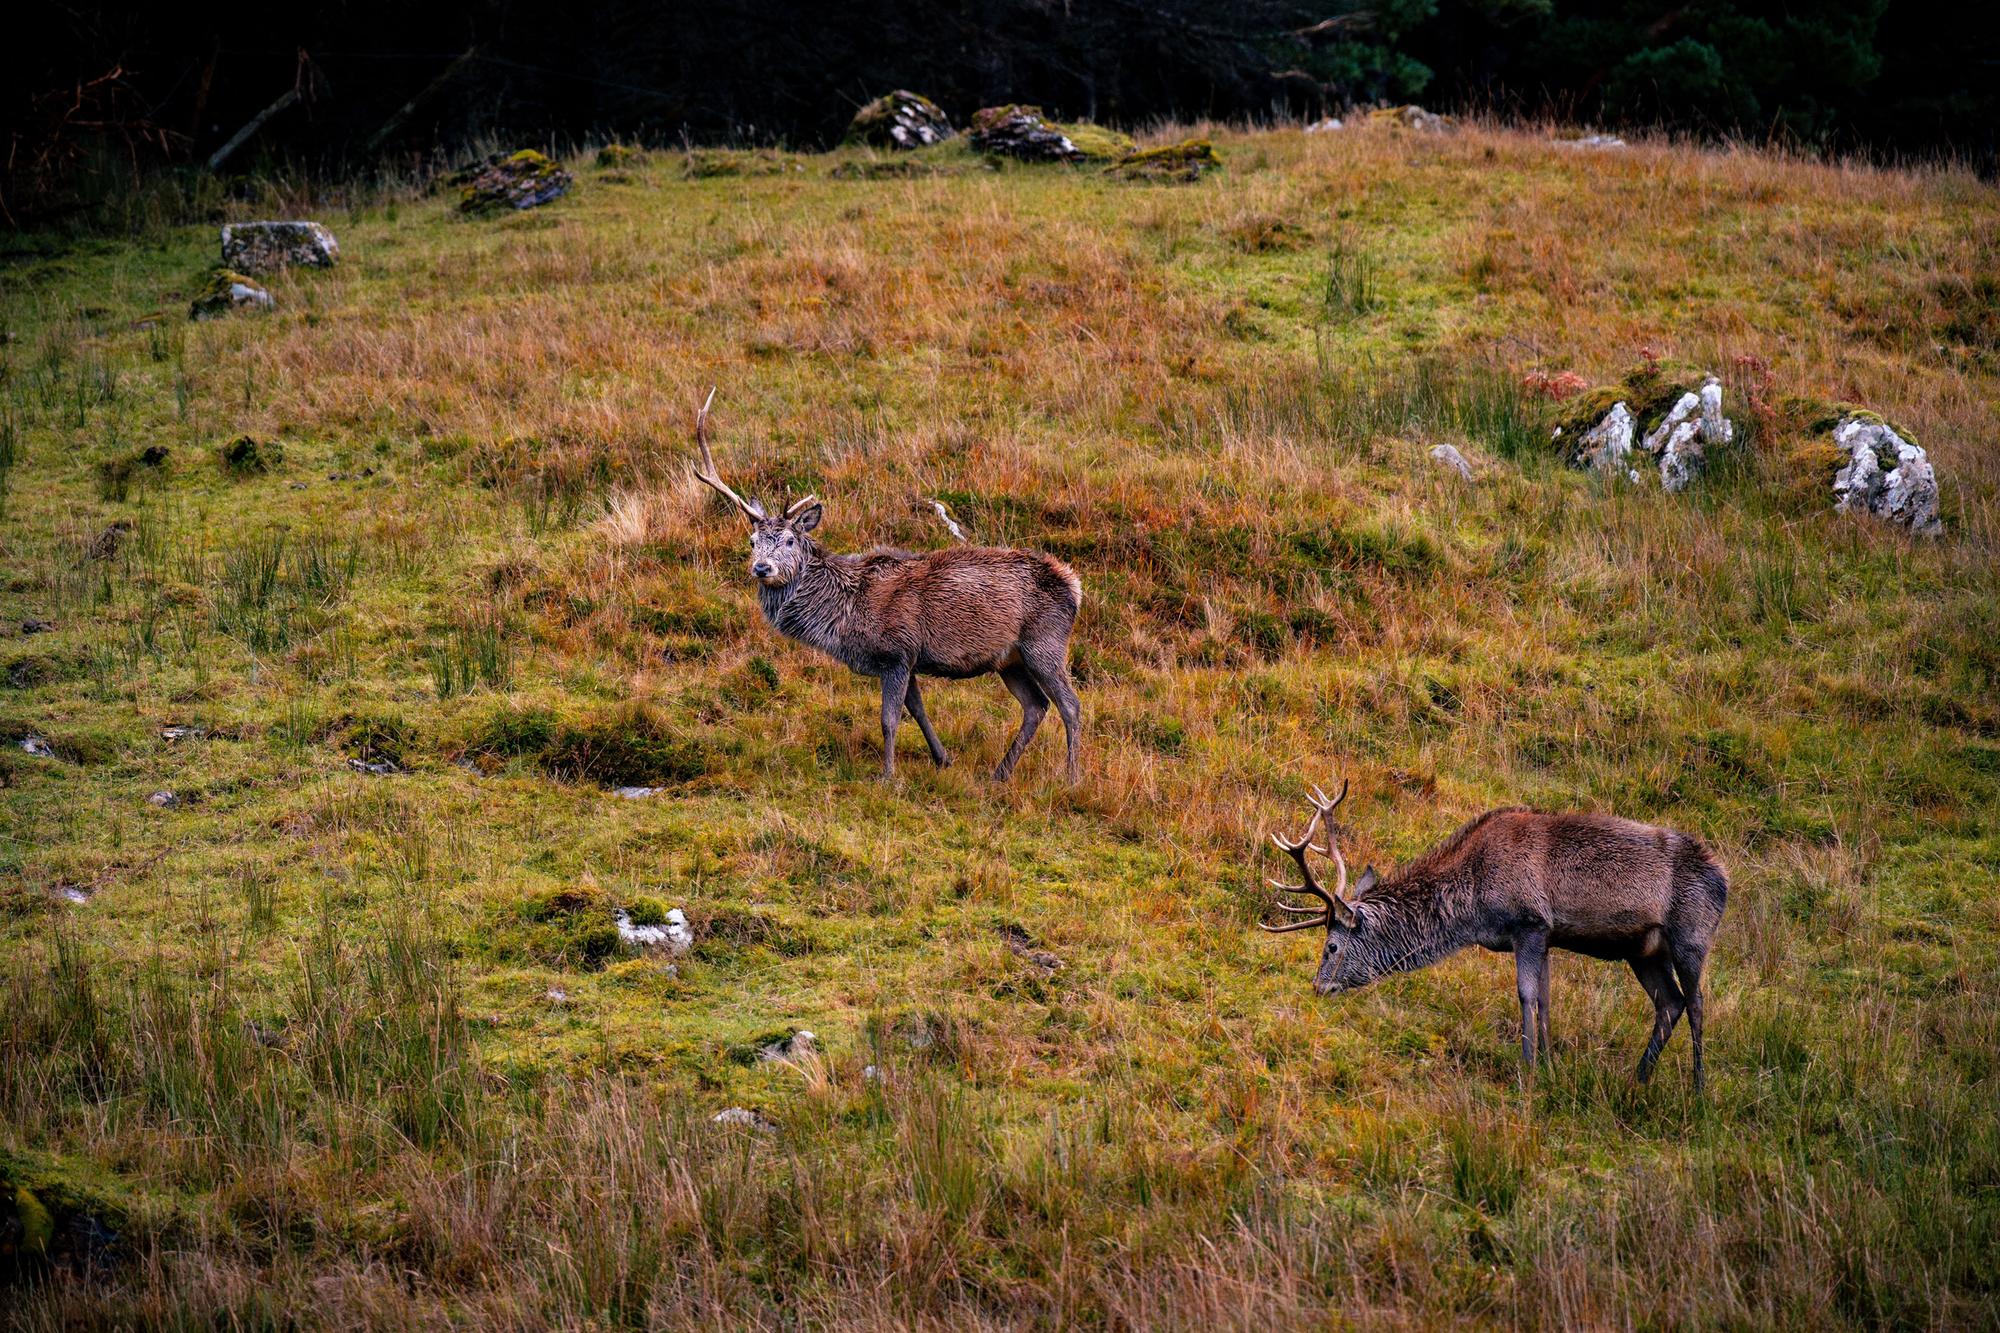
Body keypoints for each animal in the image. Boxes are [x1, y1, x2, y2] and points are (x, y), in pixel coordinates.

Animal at [689, 390, 1084, 782]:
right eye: (752, 541)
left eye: (788, 540)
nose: (762, 567)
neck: (846, 615)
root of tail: (1074, 585)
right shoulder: (906, 660)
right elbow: (918, 710)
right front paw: (943, 759)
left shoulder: (897, 651)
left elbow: (889, 719)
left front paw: (887, 777)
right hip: (1009, 659)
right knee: (1036, 705)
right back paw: (1000, 773)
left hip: (1044, 642)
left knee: (1070, 704)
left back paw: (1071, 776)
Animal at [1258, 781, 1727, 1090]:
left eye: (1331, 946)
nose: (1318, 987)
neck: (1473, 906)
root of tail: (1724, 879)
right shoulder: (1547, 937)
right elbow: (1545, 999)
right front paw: (1549, 1067)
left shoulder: (1530, 922)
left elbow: (1526, 994)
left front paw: (1527, 1069)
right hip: (1643, 951)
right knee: (1670, 1002)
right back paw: (1639, 1078)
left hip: (1692, 933)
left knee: (1697, 1003)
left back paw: (1698, 1087)